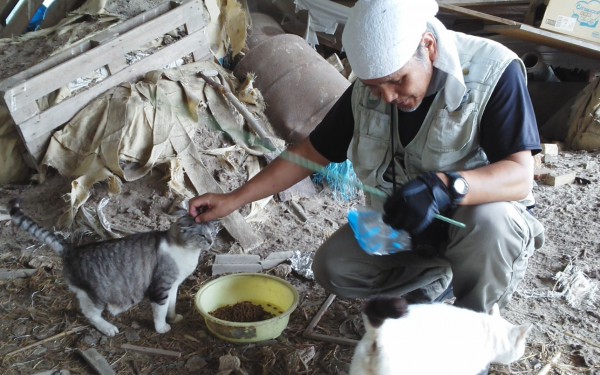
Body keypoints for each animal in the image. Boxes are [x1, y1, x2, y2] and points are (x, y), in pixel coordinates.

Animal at [8, 200, 214, 338]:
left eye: (213, 232)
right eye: (203, 236)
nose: (212, 241)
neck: (187, 252)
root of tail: (72, 249)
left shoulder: (174, 286)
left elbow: (171, 305)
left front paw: (174, 317)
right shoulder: (161, 287)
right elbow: (160, 311)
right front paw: (162, 327)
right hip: (97, 294)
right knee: (90, 313)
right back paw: (108, 328)